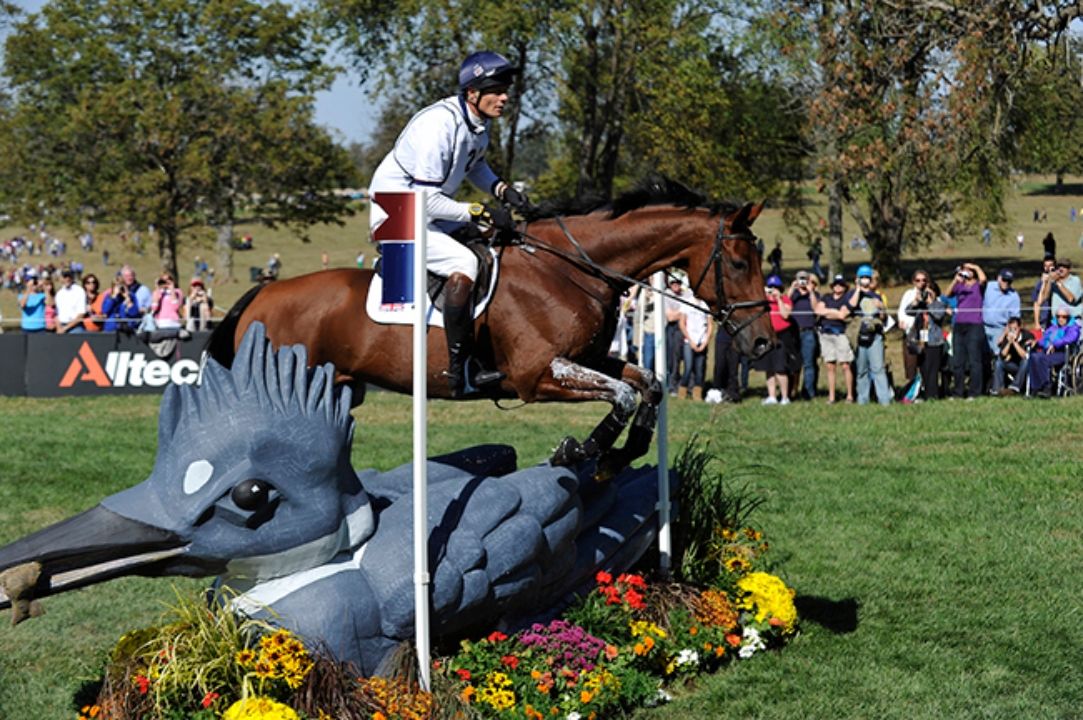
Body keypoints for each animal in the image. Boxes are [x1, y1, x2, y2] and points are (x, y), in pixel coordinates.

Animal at [206, 177, 775, 474]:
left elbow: (648, 384)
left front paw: (623, 453)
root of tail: (262, 293)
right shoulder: (536, 375)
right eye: (738, 263)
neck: (571, 267)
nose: (763, 342)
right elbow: (624, 395)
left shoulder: (587, 359)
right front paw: (580, 451)